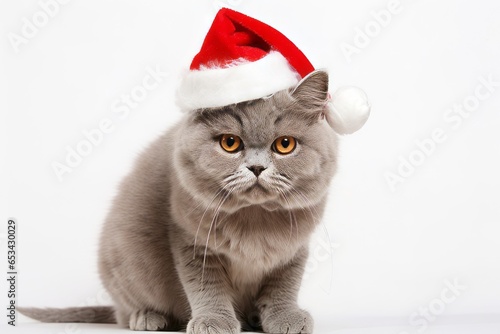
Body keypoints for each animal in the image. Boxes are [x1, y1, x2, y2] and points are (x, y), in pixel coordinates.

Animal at [19, 69, 340, 332]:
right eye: (230, 143)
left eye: (285, 144)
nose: (257, 167)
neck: (254, 217)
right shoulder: (191, 241)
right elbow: (206, 285)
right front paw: (213, 321)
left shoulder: (293, 250)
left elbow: (283, 285)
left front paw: (285, 317)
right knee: (124, 311)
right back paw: (147, 317)